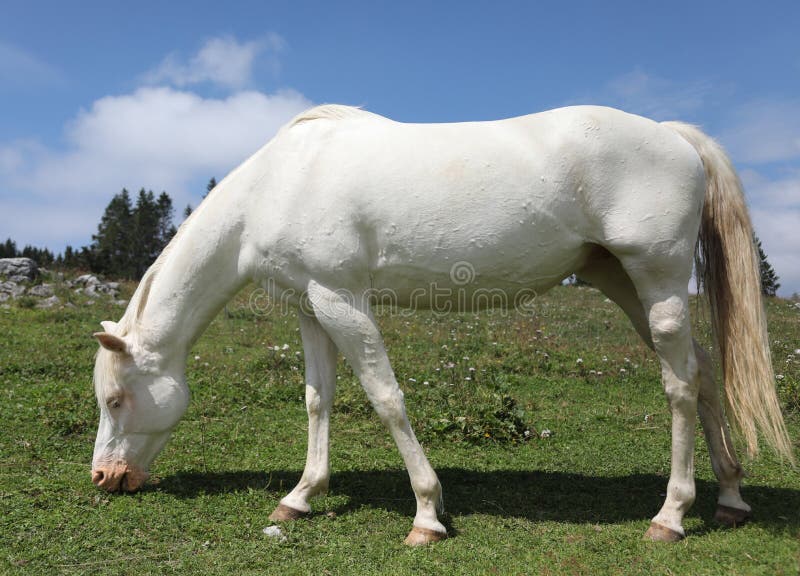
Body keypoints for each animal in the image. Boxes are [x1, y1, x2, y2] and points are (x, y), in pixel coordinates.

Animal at [90, 104, 792, 544]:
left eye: (116, 399)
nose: (104, 478)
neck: (278, 183)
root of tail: (676, 136)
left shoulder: (343, 300)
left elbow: (386, 398)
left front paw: (427, 514)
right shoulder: (311, 306)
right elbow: (319, 400)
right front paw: (300, 496)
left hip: (660, 282)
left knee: (680, 386)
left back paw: (671, 516)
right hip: (625, 285)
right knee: (704, 373)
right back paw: (730, 498)